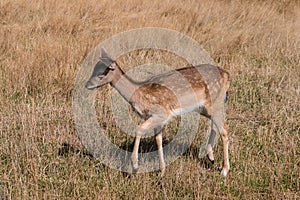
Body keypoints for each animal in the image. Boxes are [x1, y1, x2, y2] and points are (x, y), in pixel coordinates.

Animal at [85, 48, 231, 177]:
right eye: (94, 69)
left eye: (103, 73)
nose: (87, 85)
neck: (139, 95)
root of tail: (226, 75)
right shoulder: (158, 120)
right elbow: (158, 140)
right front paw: (161, 172)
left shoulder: (161, 113)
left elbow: (139, 129)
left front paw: (135, 166)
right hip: (206, 108)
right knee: (216, 126)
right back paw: (211, 157)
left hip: (215, 102)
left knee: (224, 130)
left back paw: (224, 170)